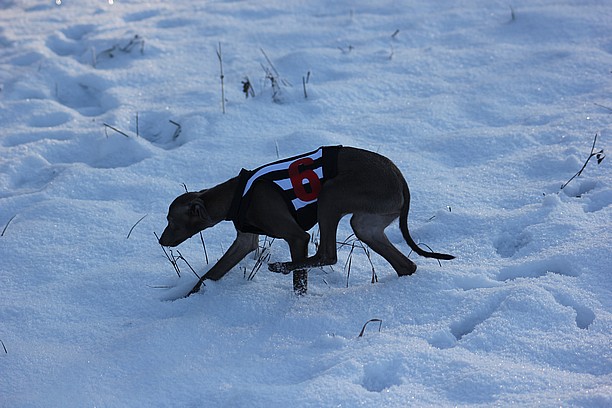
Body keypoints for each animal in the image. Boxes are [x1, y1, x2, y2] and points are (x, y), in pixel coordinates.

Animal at [159, 147, 454, 296]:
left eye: (171, 220)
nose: (161, 240)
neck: (237, 195)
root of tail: (400, 179)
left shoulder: (296, 236)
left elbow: (300, 281)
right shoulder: (244, 242)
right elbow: (209, 275)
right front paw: (185, 300)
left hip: (331, 195)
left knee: (328, 255)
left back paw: (280, 266)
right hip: (366, 225)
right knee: (406, 265)